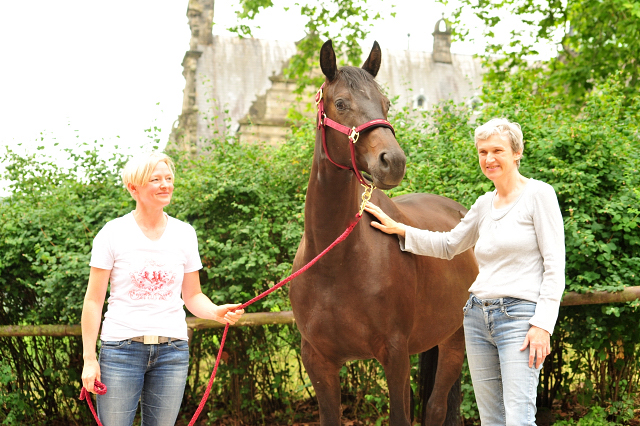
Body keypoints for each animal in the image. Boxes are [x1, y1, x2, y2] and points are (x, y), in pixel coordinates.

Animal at [288, 40, 476, 426]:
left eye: (385, 103)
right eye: (340, 103)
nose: (393, 161)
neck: (335, 263)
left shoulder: (395, 354)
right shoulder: (318, 362)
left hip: (455, 338)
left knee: (435, 408)